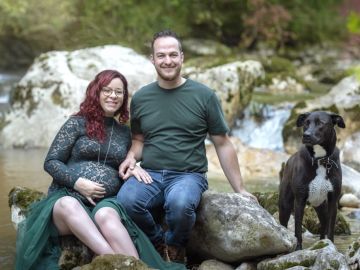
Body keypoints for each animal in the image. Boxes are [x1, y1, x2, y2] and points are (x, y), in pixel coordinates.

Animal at [278, 110, 346, 250]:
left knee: (324, 225)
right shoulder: (299, 200)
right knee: (283, 224)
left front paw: (331, 245)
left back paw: (322, 243)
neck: (320, 159)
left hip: (321, 207)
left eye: (321, 123)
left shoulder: (333, 200)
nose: (306, 135)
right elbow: (298, 228)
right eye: (306, 123)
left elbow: (330, 228)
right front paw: (298, 248)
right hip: (285, 204)